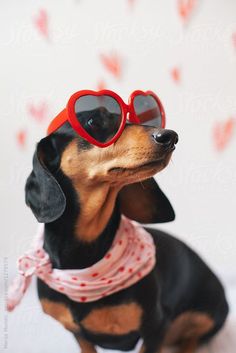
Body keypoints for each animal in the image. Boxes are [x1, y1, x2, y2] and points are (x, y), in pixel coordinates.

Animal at [25, 121, 229, 352]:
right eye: (92, 122)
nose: (170, 136)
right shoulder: (78, 334)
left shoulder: (156, 327)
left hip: (208, 315)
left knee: (193, 337)